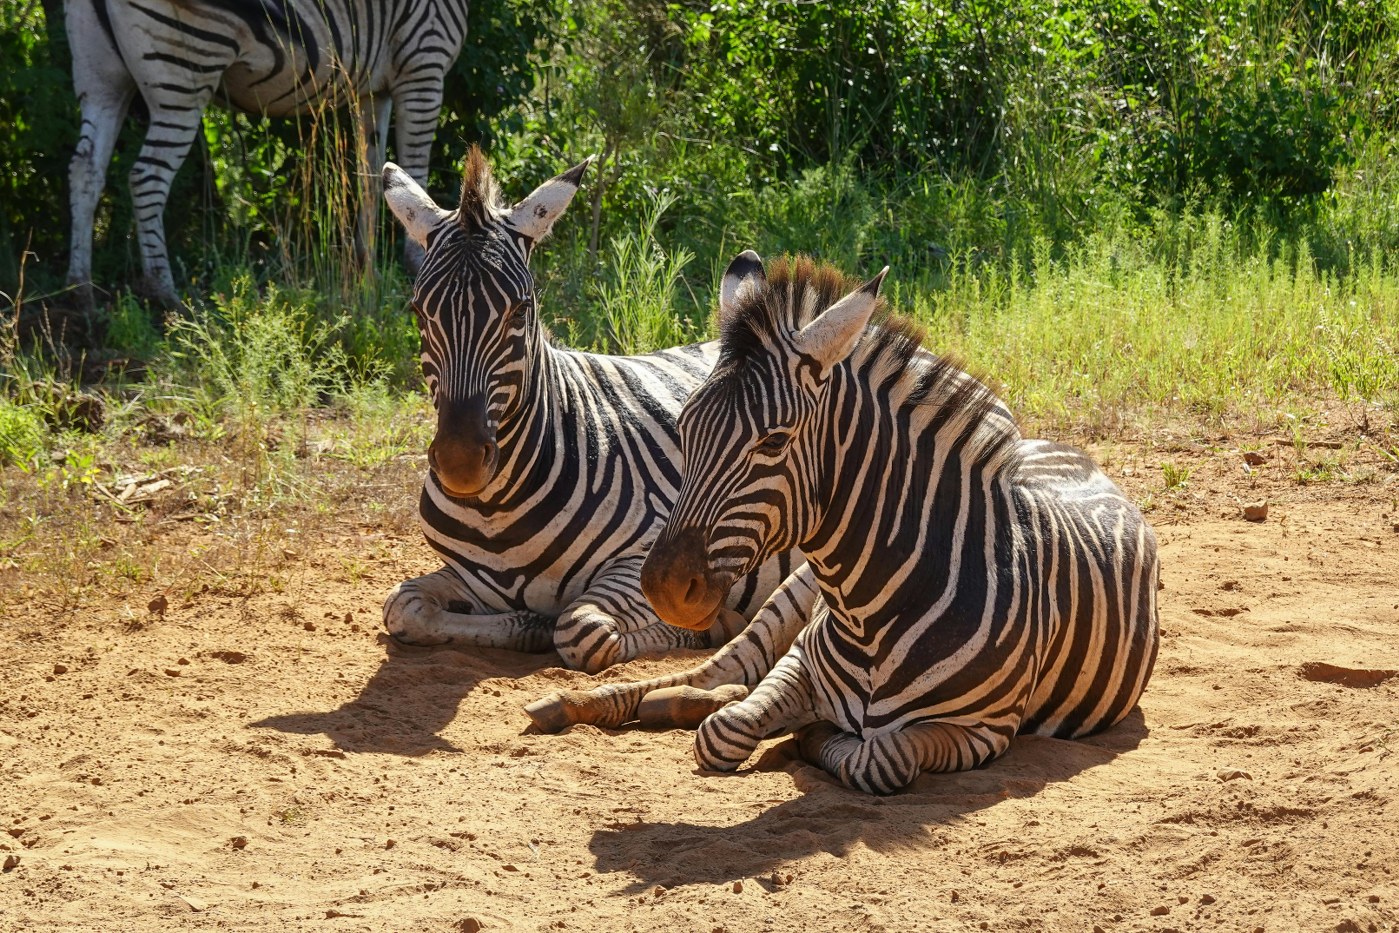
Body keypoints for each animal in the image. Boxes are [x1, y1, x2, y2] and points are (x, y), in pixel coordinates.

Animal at [64, 0, 470, 310]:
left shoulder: (373, 89)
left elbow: (372, 180)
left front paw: (365, 271)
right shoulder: (423, 63)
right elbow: (413, 171)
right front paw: (417, 264)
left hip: (102, 78)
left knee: (86, 169)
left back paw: (80, 290)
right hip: (184, 71)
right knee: (146, 177)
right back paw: (165, 292)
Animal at [380, 147, 817, 716]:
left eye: (520, 310)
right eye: (418, 311)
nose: (459, 461)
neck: (497, 511)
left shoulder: (647, 555)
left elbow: (583, 631)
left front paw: (706, 627)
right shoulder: (472, 578)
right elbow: (403, 606)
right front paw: (528, 624)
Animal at [629, 251, 1163, 794]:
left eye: (774, 441)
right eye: (683, 427)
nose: (662, 587)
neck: (870, 619)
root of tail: (1072, 452)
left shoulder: (984, 730)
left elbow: (878, 758)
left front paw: (810, 736)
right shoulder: (798, 665)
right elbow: (721, 733)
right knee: (723, 672)